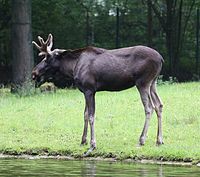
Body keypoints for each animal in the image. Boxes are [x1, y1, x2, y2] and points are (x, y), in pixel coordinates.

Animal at [32, 34, 164, 156]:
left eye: (47, 58)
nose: (34, 72)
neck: (72, 67)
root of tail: (161, 59)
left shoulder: (90, 89)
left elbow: (91, 116)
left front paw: (92, 145)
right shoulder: (86, 91)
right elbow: (85, 114)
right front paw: (83, 140)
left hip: (143, 82)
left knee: (149, 107)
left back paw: (142, 140)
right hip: (153, 82)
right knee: (159, 105)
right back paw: (159, 140)